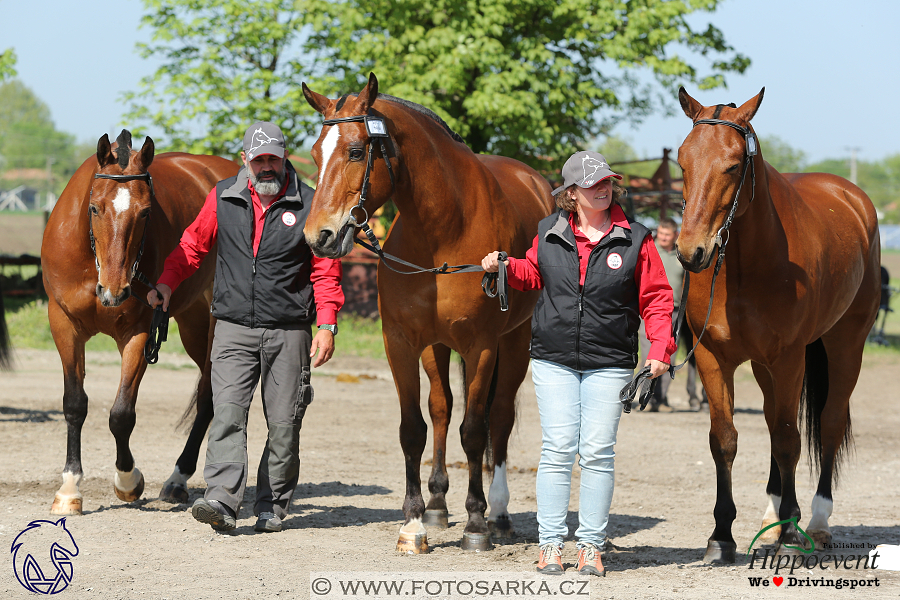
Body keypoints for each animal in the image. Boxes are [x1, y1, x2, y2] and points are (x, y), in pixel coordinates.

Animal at [41, 131, 239, 516]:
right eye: (94, 208)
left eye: (146, 212)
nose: (115, 290)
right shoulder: (64, 324)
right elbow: (74, 404)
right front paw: (70, 489)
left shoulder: (139, 331)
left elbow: (121, 414)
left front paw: (128, 481)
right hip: (192, 322)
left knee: (208, 398)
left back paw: (178, 478)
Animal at [304, 74, 556, 552]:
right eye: (313, 153)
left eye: (355, 151)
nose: (318, 236)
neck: (444, 230)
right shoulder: (402, 342)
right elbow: (413, 428)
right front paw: (414, 520)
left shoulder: (481, 347)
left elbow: (475, 431)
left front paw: (476, 523)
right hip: (437, 347)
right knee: (441, 408)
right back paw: (439, 504)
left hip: (514, 343)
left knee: (498, 417)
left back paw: (497, 512)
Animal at [676, 89, 880, 564]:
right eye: (682, 162)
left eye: (733, 165)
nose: (691, 252)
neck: (746, 264)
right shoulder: (714, 358)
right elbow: (725, 439)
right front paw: (722, 537)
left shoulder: (789, 358)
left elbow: (790, 439)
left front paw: (791, 531)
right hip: (765, 366)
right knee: (772, 420)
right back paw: (772, 517)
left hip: (845, 344)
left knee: (827, 423)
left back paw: (816, 522)